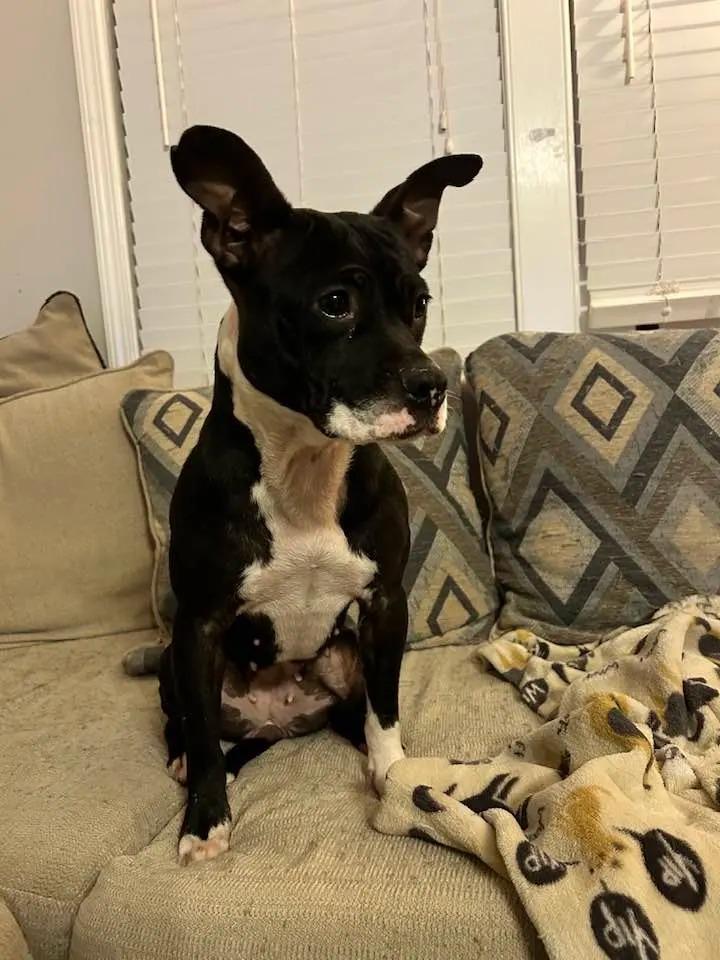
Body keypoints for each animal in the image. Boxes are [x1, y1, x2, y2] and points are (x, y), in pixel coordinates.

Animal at [160, 124, 480, 868]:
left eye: (418, 303)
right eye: (336, 303)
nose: (431, 387)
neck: (306, 463)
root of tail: (278, 722)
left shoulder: (384, 604)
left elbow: (385, 711)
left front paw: (393, 776)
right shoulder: (199, 624)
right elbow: (203, 735)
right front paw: (204, 822)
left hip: (345, 655)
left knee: (356, 711)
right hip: (169, 660)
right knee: (190, 728)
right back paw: (188, 765)